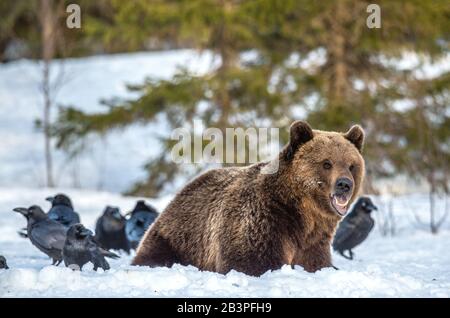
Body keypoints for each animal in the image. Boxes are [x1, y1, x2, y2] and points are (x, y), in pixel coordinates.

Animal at [132, 121, 364, 276]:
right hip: (179, 237)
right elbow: (251, 262)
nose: (344, 184)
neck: (303, 214)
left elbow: (317, 262)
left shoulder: (315, 240)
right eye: (327, 163)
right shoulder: (263, 222)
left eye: (351, 165)